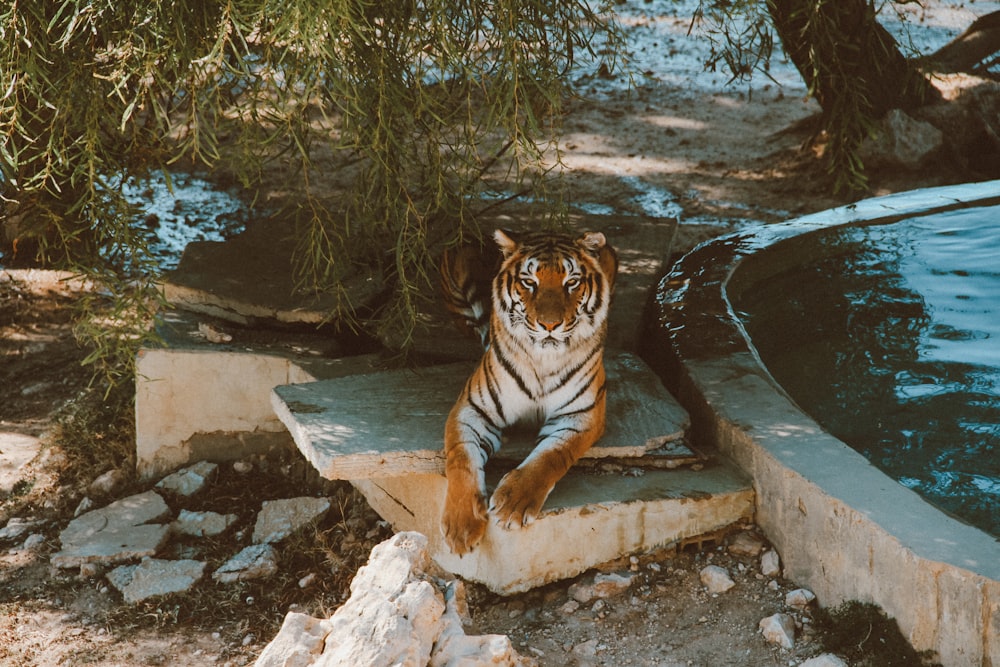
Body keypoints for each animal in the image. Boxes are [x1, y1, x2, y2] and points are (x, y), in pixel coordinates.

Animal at [440, 232, 616, 556]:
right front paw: (461, 526)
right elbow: (460, 459)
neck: (542, 360)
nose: (549, 325)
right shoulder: (471, 408)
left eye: (572, 282)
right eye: (529, 282)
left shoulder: (581, 416)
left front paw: (512, 504)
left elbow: (551, 456)